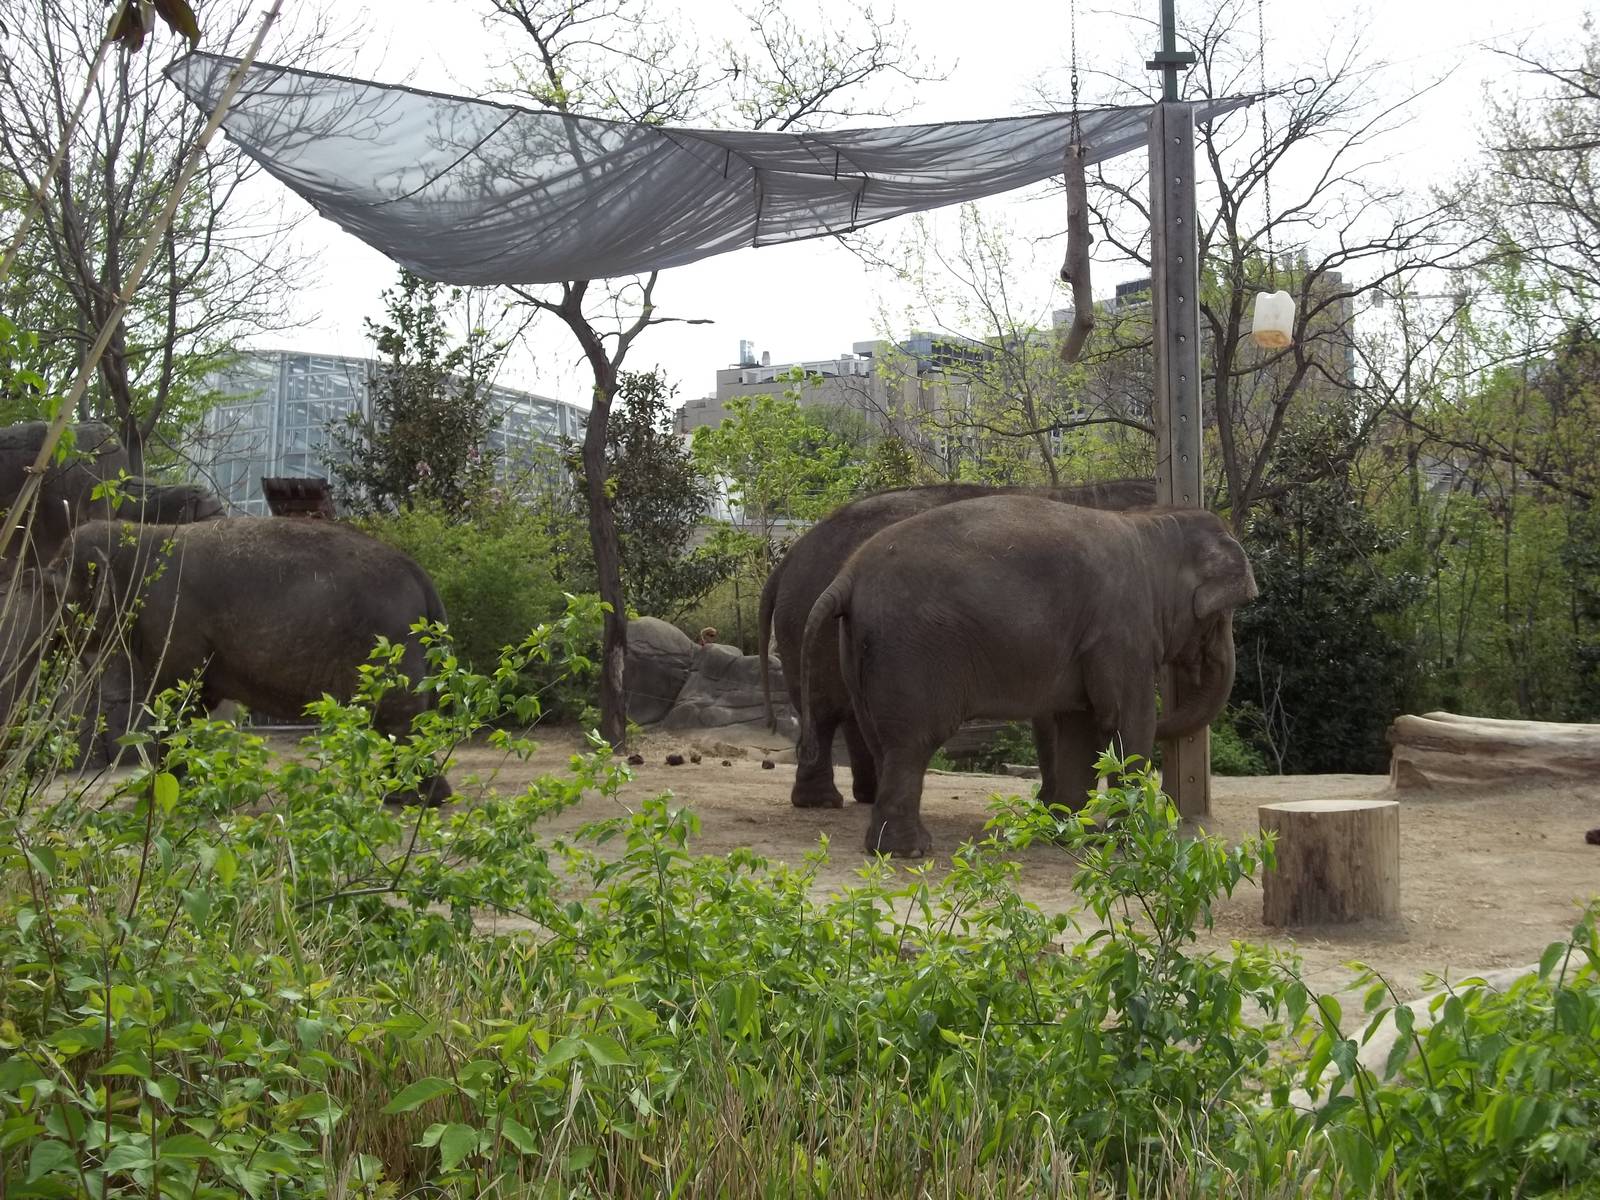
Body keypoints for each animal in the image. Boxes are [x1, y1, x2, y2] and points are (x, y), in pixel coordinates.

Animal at [46, 517, 454, 803]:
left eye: (54, 587)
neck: (141, 533)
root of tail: (423, 578)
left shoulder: (171, 620)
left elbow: (175, 696)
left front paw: (158, 795)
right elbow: (196, 700)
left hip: (393, 644)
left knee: (398, 717)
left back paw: (410, 797)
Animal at [758, 478, 1158, 810]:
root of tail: (787, 559)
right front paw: (1050, 804)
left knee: (854, 711)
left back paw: (866, 796)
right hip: (809, 623)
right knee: (824, 710)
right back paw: (823, 802)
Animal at [799, 497, 1258, 855]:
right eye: (1221, 615)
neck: (1152, 525)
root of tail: (847, 576)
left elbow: (1080, 726)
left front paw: (1071, 835)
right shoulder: (1122, 629)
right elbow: (1128, 721)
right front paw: (1131, 839)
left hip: (858, 647)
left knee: (882, 739)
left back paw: (886, 846)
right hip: (911, 651)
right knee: (912, 743)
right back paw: (910, 851)